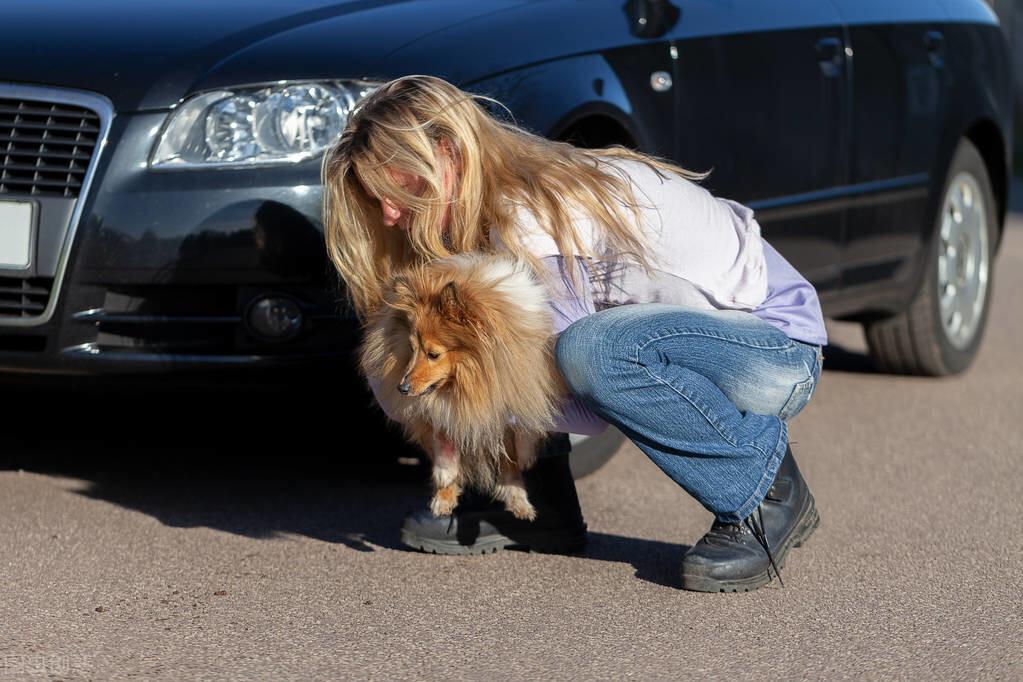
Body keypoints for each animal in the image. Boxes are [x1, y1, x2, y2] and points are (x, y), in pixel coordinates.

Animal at [358, 253, 568, 519]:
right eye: (412, 349)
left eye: (433, 354)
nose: (402, 389)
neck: (467, 378)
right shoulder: (444, 411)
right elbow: (445, 440)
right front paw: (444, 487)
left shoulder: (505, 406)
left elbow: (510, 457)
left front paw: (518, 498)